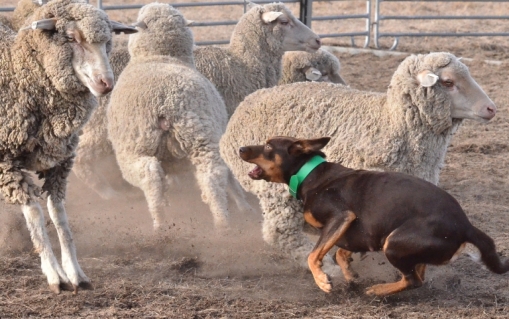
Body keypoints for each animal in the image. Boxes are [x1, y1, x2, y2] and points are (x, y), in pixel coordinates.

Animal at [0, 0, 134, 296]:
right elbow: (36, 216)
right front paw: (54, 274)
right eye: (71, 38)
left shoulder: (58, 163)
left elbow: (60, 218)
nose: (106, 84)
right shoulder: (6, 163)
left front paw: (75, 273)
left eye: (108, 41)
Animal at [108, 3, 233, 231]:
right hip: (202, 138)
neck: (160, 56)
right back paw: (222, 224)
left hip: (134, 147)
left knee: (149, 175)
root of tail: (167, 101)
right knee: (212, 176)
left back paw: (160, 222)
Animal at [219, 52, 496, 272]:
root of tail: (249, 100)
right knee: (280, 233)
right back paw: (325, 268)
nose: (491, 109)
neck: (390, 121)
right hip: (275, 192)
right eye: (448, 82)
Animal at [238, 137, 508, 298]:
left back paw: (378, 291)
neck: (309, 174)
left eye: (269, 146)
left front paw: (323, 281)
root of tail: (466, 225)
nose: (240, 148)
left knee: (413, 280)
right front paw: (350, 274)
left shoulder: (341, 216)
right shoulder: (354, 231)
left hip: (395, 243)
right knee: (419, 274)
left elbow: (313, 255)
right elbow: (339, 253)